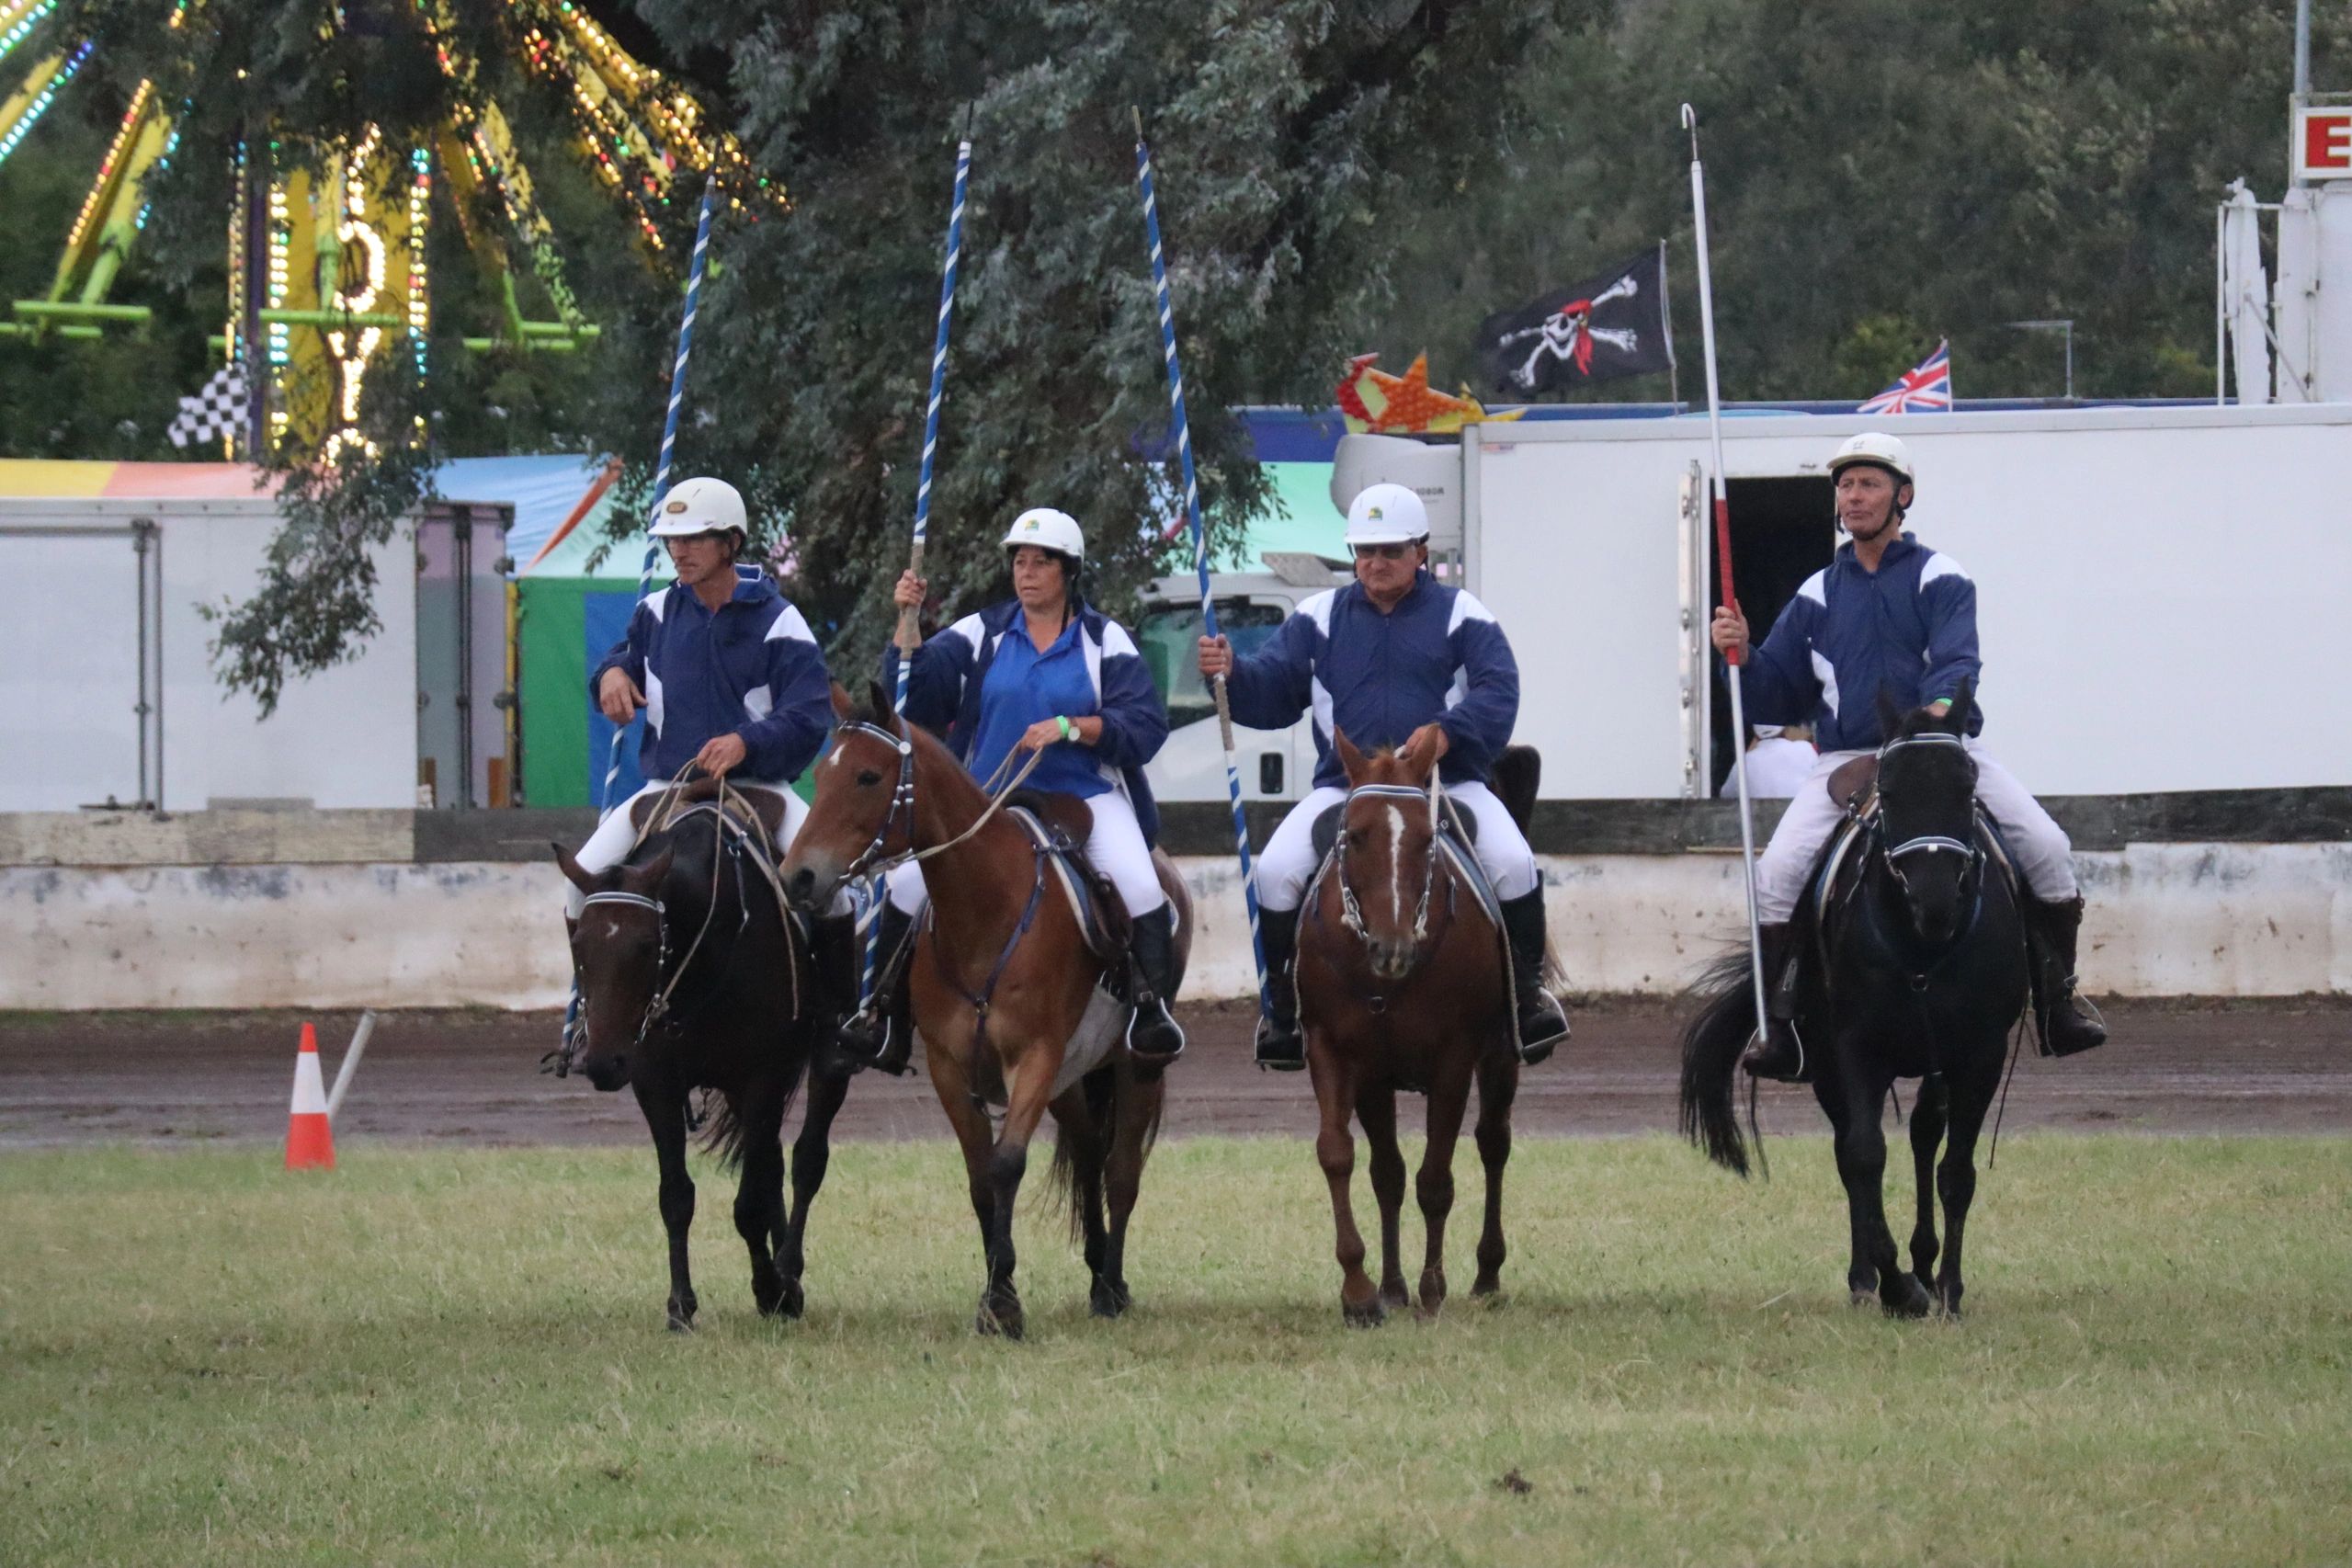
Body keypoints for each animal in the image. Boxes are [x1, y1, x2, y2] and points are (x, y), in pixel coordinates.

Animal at [554, 790, 860, 1335]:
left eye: (646, 945)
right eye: (578, 944)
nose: (604, 1063)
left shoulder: (763, 1076)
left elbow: (749, 1203)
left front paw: (771, 1289)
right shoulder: (656, 1082)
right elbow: (676, 1197)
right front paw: (681, 1305)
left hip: (817, 1067)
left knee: (806, 1161)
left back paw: (787, 1275)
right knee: (771, 1164)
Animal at [785, 681, 1194, 1345]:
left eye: (869, 776)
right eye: (820, 774)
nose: (799, 876)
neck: (985, 909)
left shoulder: (1034, 1058)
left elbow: (1007, 1165)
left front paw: (1002, 1302)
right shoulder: (951, 1067)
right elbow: (981, 1179)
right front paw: (997, 1292)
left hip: (1134, 1067)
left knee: (1120, 1171)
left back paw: (1111, 1284)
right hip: (1071, 1077)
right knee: (1087, 1154)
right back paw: (1097, 1274)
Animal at [1289, 738, 1542, 1325]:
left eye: (1428, 839)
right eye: (1355, 834)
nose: (1394, 947)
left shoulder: (1454, 1058)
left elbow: (1436, 1179)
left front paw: (1432, 1289)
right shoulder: (1340, 1054)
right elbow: (1346, 1158)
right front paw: (1363, 1291)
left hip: (1499, 1059)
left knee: (1493, 1143)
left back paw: (1487, 1273)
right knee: (1390, 1173)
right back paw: (1392, 1286)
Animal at [1684, 686, 2031, 1325]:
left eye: (1967, 786)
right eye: (1889, 792)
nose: (1935, 901)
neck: (1922, 945)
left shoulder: (1978, 1055)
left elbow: (1956, 1170)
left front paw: (1947, 1289)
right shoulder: (1854, 1050)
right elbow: (1865, 1156)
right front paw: (1896, 1285)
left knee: (1924, 1134)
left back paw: (1924, 1263)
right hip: (1825, 1062)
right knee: (1852, 1153)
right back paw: (1869, 1278)